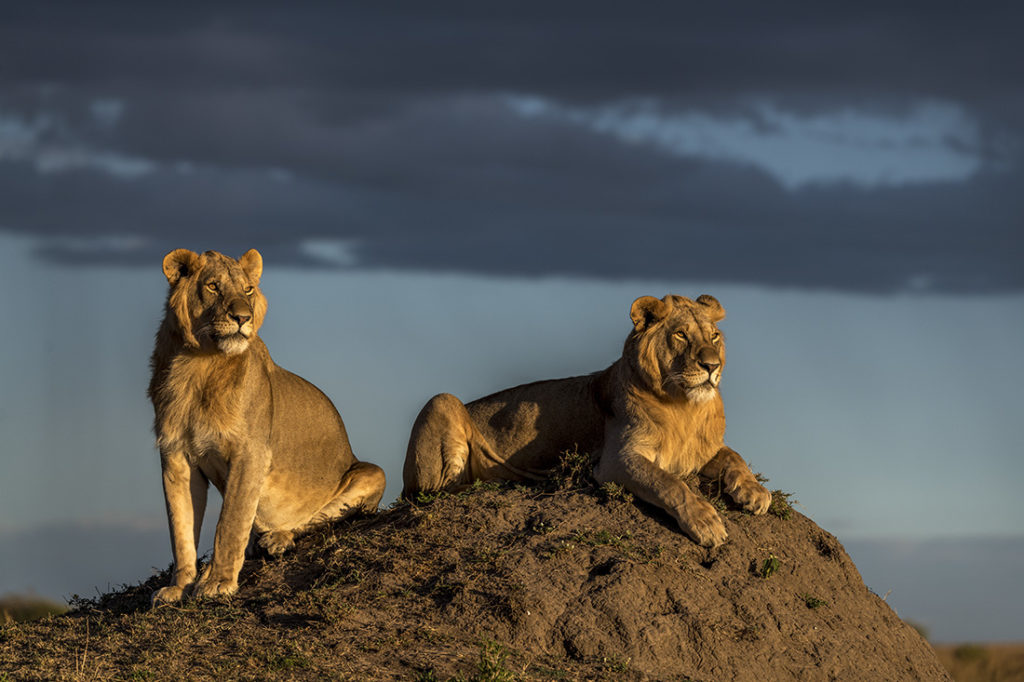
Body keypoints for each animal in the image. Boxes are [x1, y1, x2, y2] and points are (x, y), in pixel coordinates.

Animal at [150, 249, 387, 602]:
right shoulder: (175, 456)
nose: (242, 318)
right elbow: (181, 529)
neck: (197, 365)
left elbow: (230, 522)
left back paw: (277, 538)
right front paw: (179, 586)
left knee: (314, 518)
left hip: (371, 473)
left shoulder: (251, 453)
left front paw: (218, 582)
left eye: (247, 290)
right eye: (214, 286)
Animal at [401, 294, 770, 544]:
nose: (711, 366)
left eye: (714, 337)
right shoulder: (616, 460)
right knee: (430, 491)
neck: (685, 408)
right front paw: (706, 523)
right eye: (680, 335)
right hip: (442, 402)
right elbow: (668, 483)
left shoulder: (702, 451)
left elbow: (734, 457)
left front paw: (754, 493)